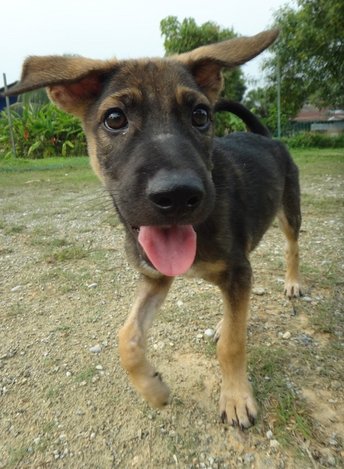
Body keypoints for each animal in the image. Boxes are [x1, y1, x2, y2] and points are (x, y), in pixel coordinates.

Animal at [4, 30, 300, 428]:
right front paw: (153, 389)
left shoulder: (238, 269)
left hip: (289, 211)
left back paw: (292, 284)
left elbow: (233, 344)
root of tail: (267, 137)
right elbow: (126, 336)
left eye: (201, 115)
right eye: (115, 118)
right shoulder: (157, 276)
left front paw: (237, 398)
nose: (178, 196)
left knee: (291, 248)